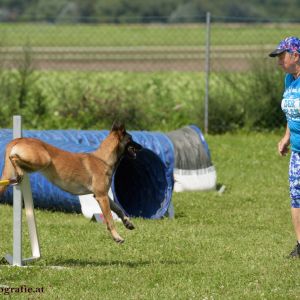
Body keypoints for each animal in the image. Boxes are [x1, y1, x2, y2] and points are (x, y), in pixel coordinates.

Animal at [0, 123, 141, 243]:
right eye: (131, 138)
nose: (142, 147)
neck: (103, 160)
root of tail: (19, 139)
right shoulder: (101, 197)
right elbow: (110, 219)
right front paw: (117, 236)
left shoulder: (102, 195)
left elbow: (118, 209)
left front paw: (127, 222)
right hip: (43, 160)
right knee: (13, 157)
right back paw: (18, 172)